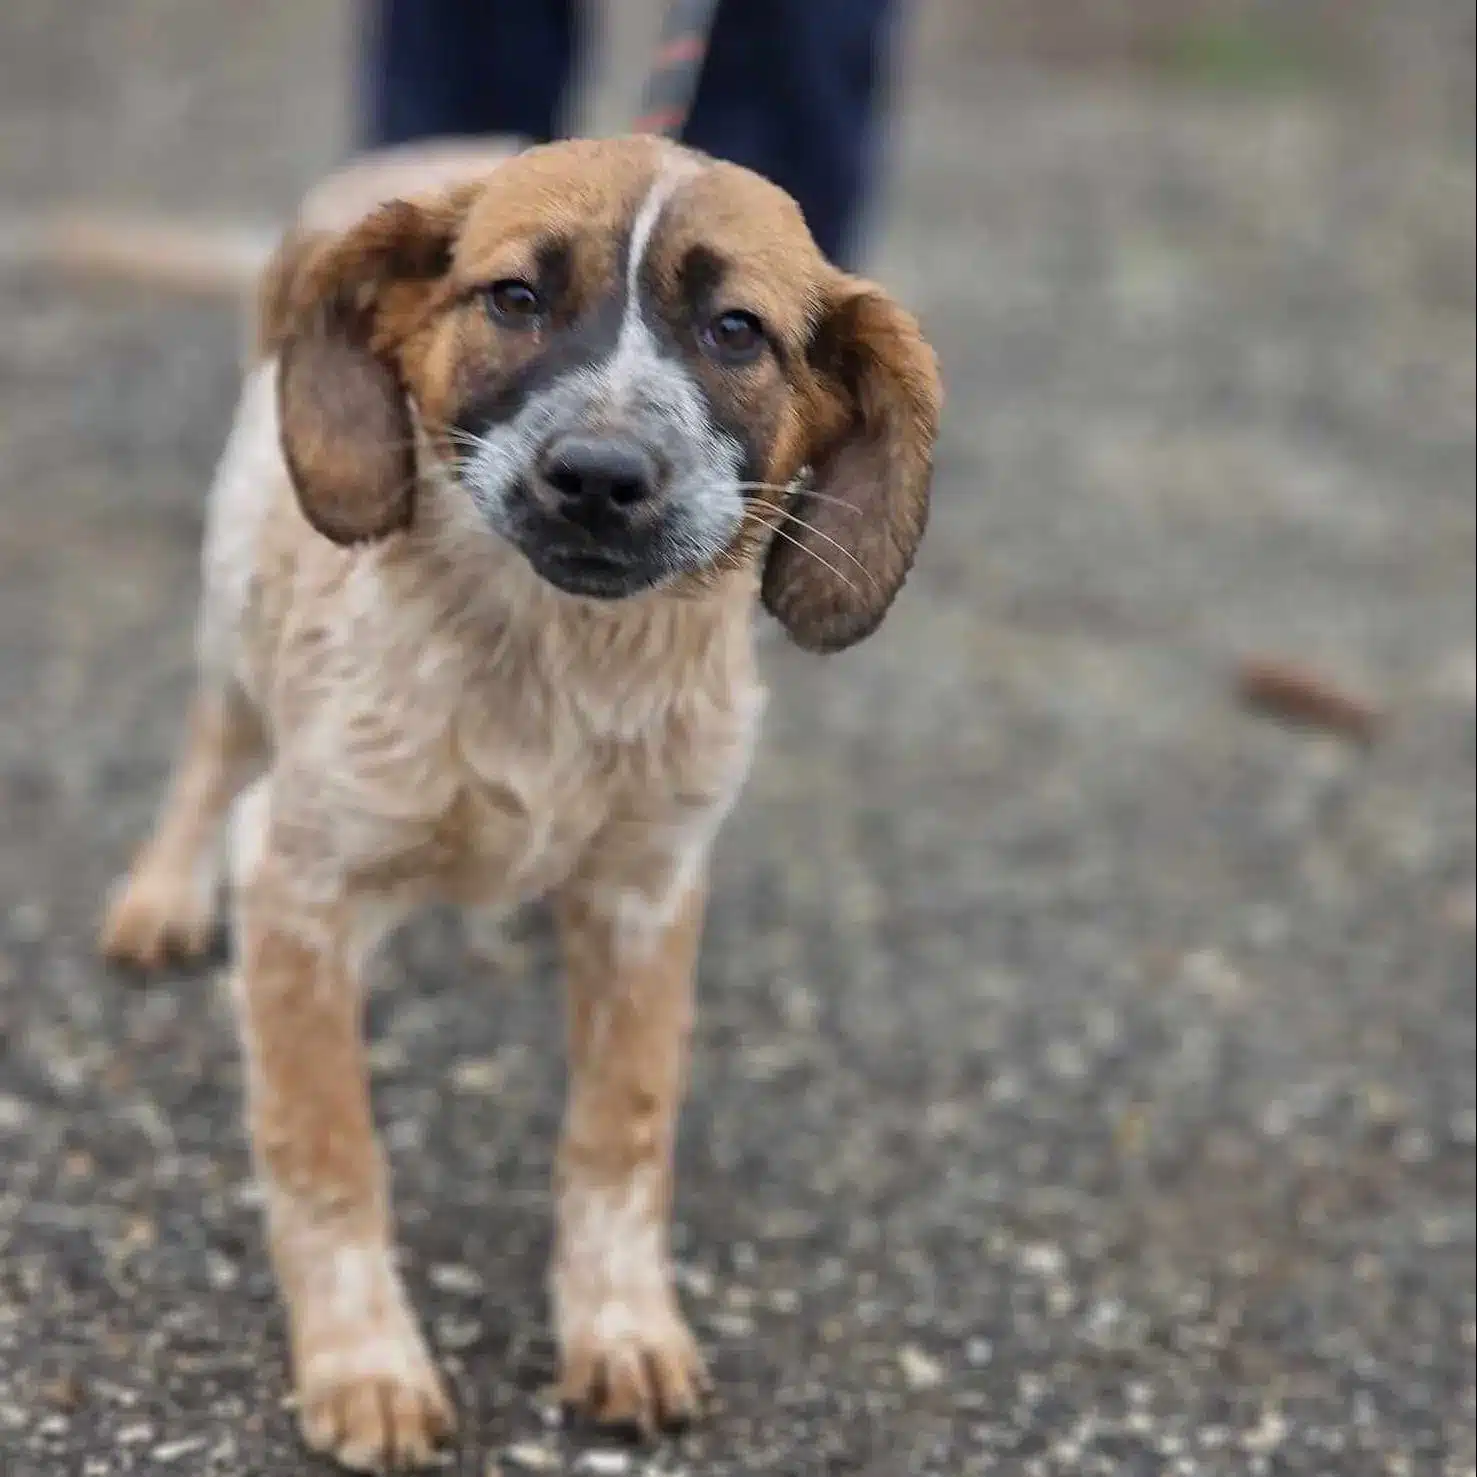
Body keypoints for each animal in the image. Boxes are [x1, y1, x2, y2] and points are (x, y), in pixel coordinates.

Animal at [104, 135, 939, 1465]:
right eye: (513, 298)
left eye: (736, 331)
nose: (597, 476)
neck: (556, 660)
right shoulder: (299, 879)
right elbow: (327, 1152)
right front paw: (365, 1362)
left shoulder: (649, 888)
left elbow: (621, 1132)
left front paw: (621, 1328)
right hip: (236, 624)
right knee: (207, 746)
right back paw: (162, 897)